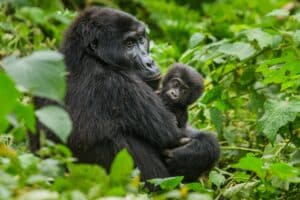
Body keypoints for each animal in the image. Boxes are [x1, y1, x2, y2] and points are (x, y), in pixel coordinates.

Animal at [29, 6, 219, 181]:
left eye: (141, 40)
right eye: (129, 44)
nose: (150, 62)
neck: (86, 56)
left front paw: (198, 151)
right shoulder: (120, 85)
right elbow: (174, 134)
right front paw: (201, 151)